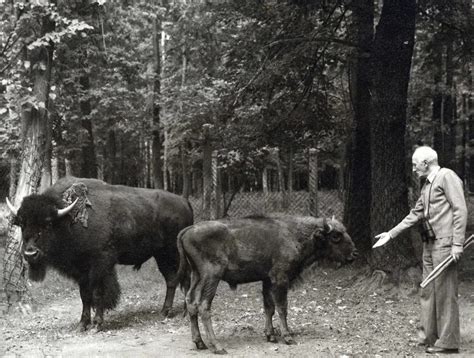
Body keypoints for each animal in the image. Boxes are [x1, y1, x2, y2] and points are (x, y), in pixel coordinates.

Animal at [176, 214, 358, 354]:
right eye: (336, 236)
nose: (354, 254)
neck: (296, 235)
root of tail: (188, 230)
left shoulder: (267, 280)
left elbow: (268, 308)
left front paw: (270, 336)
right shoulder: (280, 279)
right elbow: (282, 308)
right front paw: (288, 337)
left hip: (196, 275)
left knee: (191, 302)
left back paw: (200, 343)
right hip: (211, 277)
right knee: (203, 306)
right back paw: (217, 346)